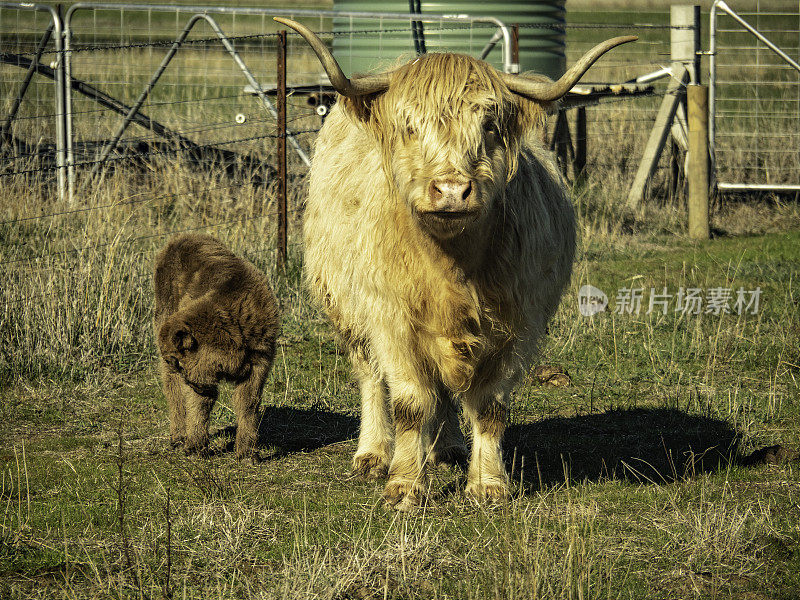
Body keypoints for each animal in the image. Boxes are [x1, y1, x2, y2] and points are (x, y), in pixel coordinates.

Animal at [155, 233, 280, 460]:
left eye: (180, 362)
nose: (190, 382)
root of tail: (177, 240)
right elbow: (199, 404)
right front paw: (195, 446)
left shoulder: (260, 359)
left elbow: (248, 404)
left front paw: (248, 453)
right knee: (173, 391)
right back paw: (178, 437)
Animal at [280, 16, 636, 508]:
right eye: (409, 126)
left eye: (488, 125)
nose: (451, 190)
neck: (451, 267)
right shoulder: (391, 319)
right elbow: (410, 402)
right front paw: (404, 486)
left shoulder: (517, 325)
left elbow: (488, 406)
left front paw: (488, 484)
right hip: (346, 307)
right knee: (370, 376)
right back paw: (373, 453)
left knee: (447, 392)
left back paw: (447, 447)